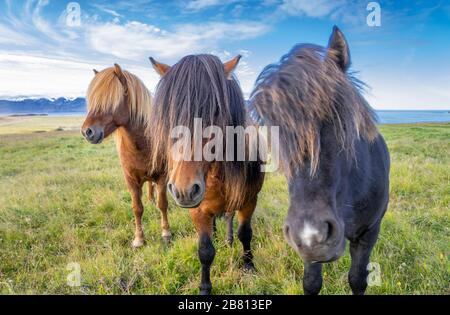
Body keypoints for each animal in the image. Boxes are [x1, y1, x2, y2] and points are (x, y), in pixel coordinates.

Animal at [81, 64, 171, 248]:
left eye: (111, 100)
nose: (87, 131)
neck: (143, 145)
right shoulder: (130, 180)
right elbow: (137, 208)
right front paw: (138, 239)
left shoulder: (162, 176)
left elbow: (163, 204)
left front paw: (166, 233)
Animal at [149, 55, 266, 296]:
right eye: (169, 116)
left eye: (216, 113)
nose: (183, 190)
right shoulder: (198, 209)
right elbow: (205, 250)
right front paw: (204, 288)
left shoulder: (250, 200)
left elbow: (245, 233)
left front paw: (249, 265)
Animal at [250, 25, 390, 296]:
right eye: (274, 129)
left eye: (344, 121)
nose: (310, 236)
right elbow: (311, 283)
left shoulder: (368, 234)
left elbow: (358, 279)